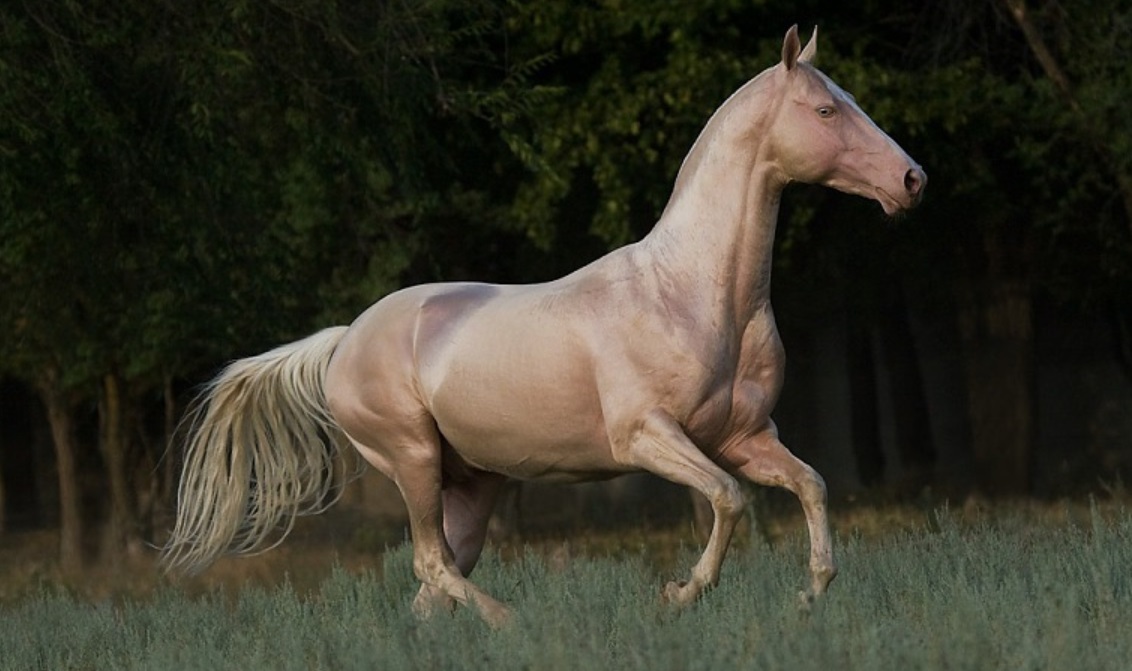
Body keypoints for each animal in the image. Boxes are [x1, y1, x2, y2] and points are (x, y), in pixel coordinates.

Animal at [167, 24, 928, 624]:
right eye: (826, 108)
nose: (912, 180)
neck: (688, 293)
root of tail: (343, 341)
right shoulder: (647, 436)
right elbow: (728, 498)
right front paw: (680, 593)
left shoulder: (745, 438)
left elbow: (809, 484)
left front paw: (811, 592)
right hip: (411, 460)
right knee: (433, 566)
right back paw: (514, 622)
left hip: (471, 481)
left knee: (437, 580)